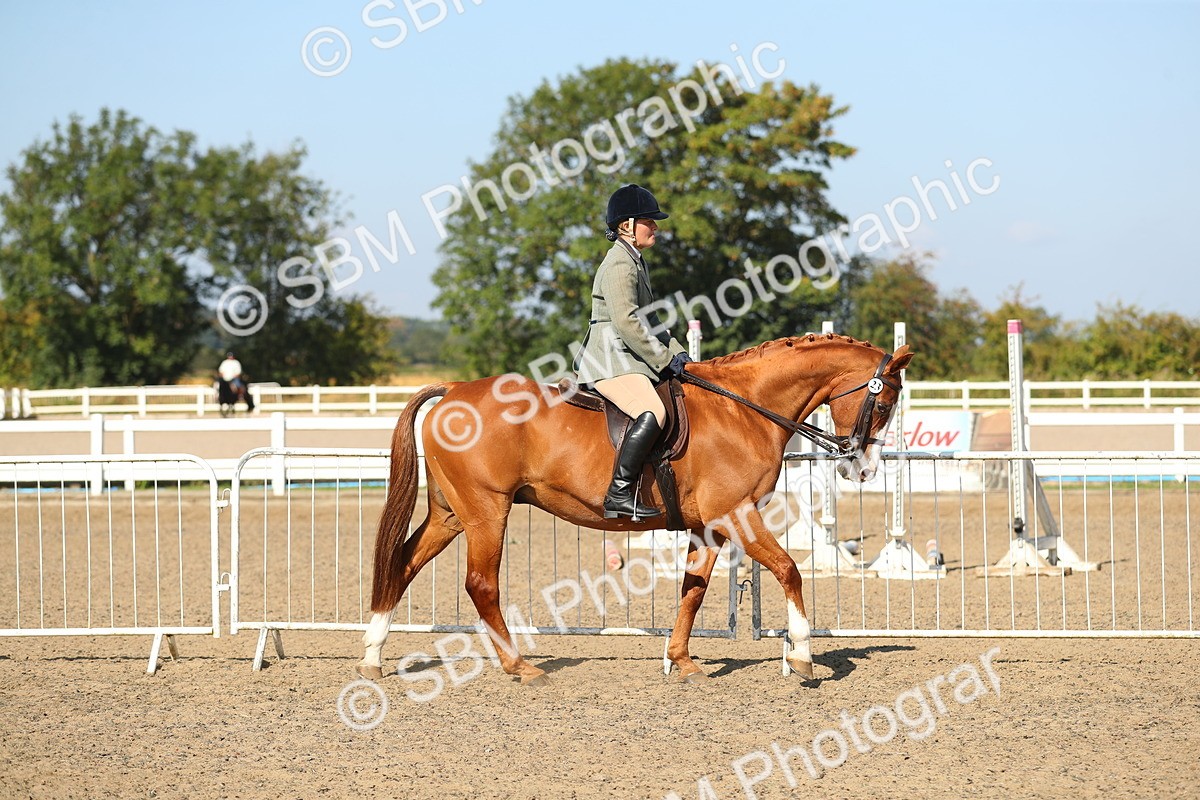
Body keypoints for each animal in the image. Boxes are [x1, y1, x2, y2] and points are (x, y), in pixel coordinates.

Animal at [358, 333, 913, 685]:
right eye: (885, 406)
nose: (863, 470)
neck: (743, 408)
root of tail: (453, 390)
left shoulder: (708, 527)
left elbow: (694, 589)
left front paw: (680, 661)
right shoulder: (737, 514)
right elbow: (789, 570)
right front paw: (800, 656)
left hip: (451, 514)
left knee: (402, 565)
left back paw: (372, 657)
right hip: (487, 513)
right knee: (481, 585)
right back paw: (520, 667)